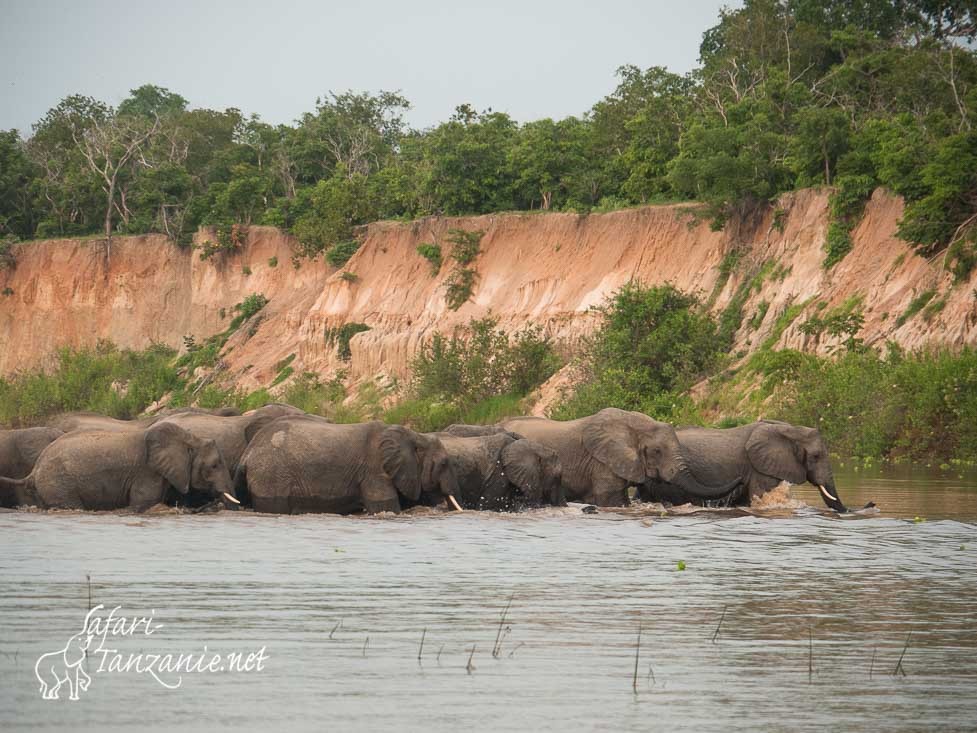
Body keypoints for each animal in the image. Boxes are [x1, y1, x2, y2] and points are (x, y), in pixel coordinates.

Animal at [0, 420, 238, 512]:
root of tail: (34, 470)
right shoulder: (146, 473)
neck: (188, 438)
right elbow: (144, 504)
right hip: (58, 483)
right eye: (214, 466)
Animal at [237, 414, 466, 512]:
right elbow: (386, 506)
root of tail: (247, 454)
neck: (414, 434)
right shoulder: (374, 471)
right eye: (443, 464)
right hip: (271, 475)